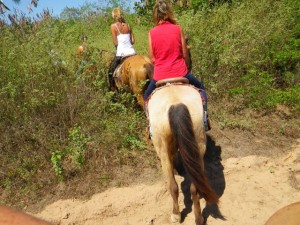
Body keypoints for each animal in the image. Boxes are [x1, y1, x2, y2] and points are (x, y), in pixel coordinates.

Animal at [147, 82, 218, 225]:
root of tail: (175, 103)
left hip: (162, 150)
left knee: (172, 186)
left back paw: (176, 215)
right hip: (198, 144)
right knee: (194, 187)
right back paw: (198, 218)